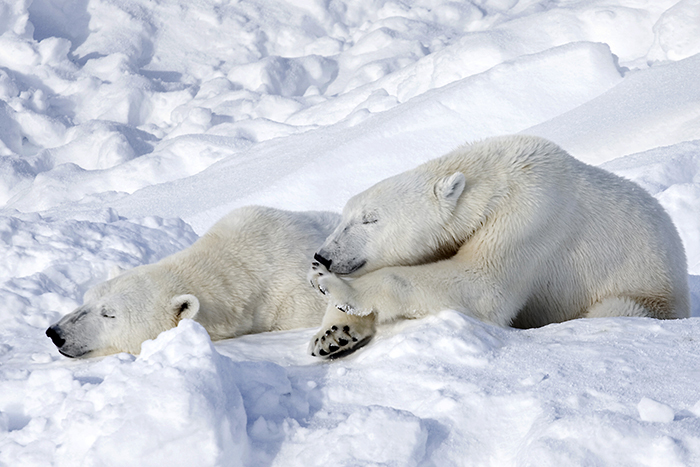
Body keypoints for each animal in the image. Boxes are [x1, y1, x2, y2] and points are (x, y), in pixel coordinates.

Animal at [308, 134, 688, 358]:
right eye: (343, 217)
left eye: (370, 219)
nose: (322, 256)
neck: (497, 177)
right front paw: (332, 334)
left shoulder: (529, 218)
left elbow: (482, 286)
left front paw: (336, 287)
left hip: (646, 296)